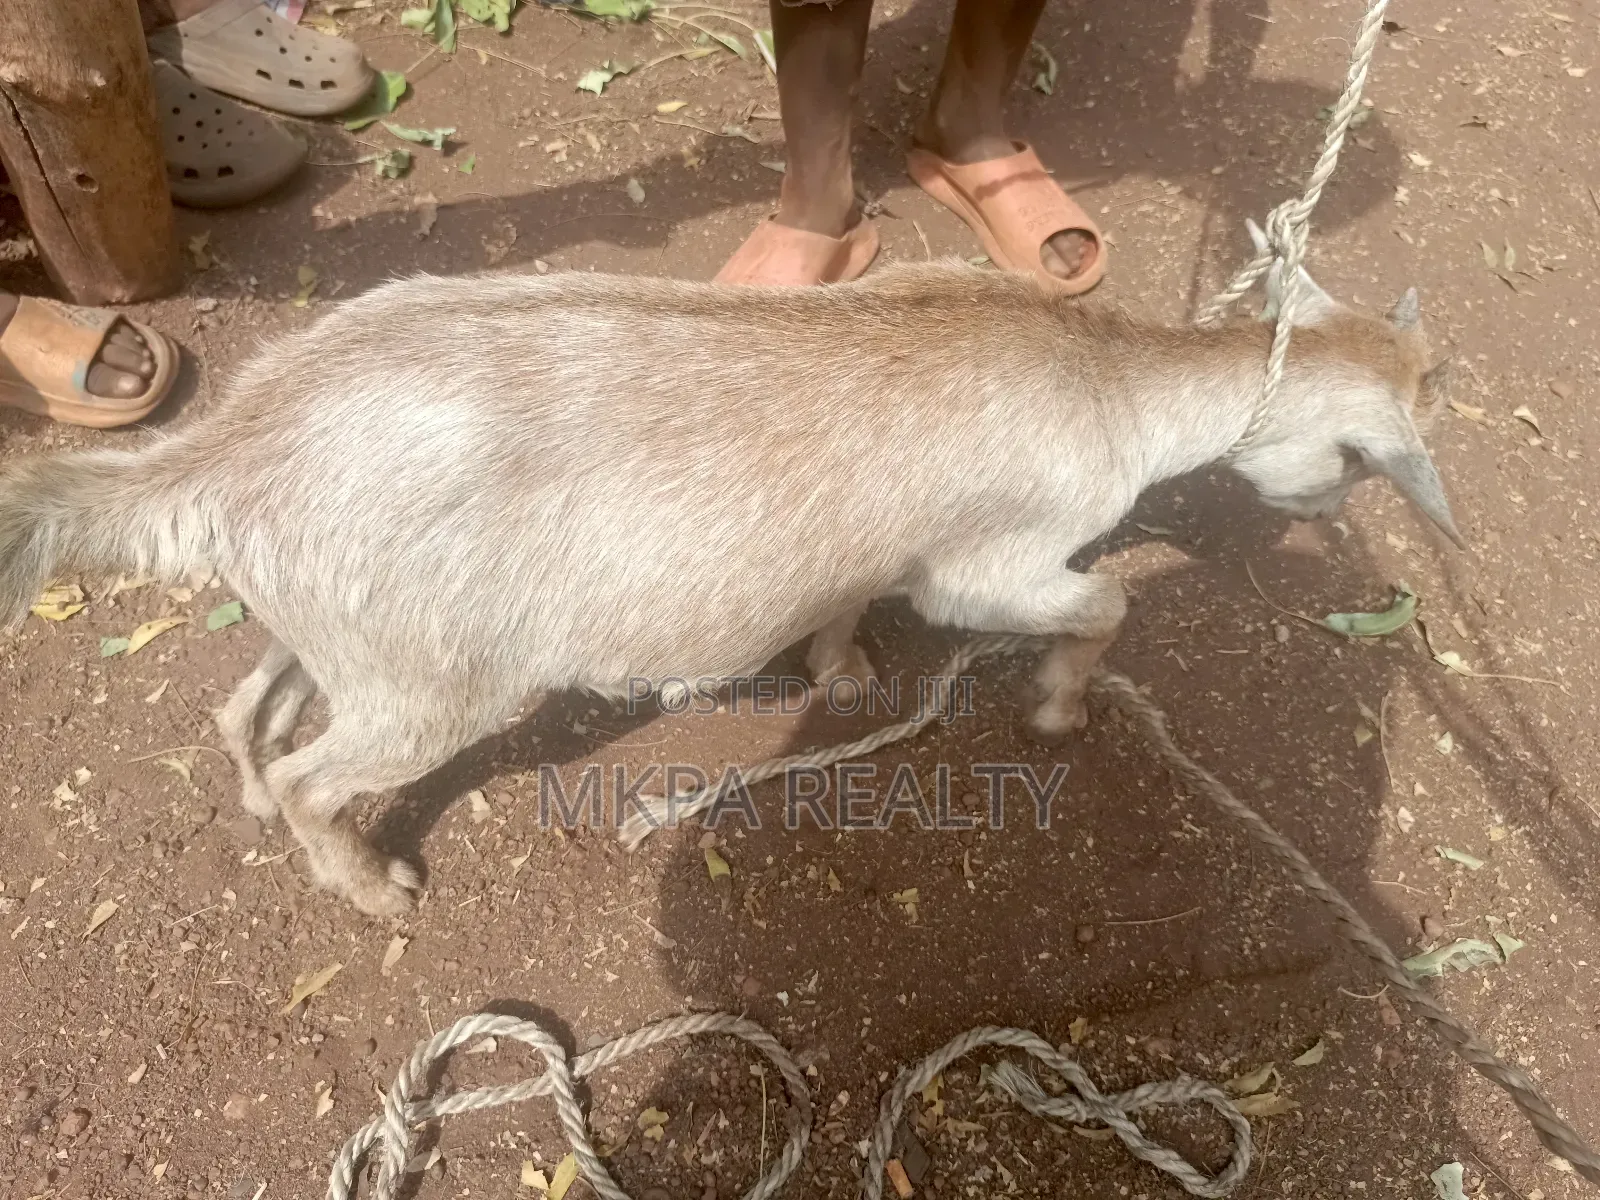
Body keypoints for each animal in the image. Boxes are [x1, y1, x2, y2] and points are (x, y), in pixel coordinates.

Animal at [0, 245, 1459, 914]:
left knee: (249, 698)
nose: (1330, 514)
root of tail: (236, 437)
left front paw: (842, 670)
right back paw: (367, 884)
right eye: (1359, 464)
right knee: (325, 764)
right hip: (433, 683)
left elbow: (841, 599)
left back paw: (259, 796)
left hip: (354, 619)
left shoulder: (869, 545)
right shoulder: (989, 562)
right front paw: (1054, 706)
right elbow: (1105, 600)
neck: (1107, 376)